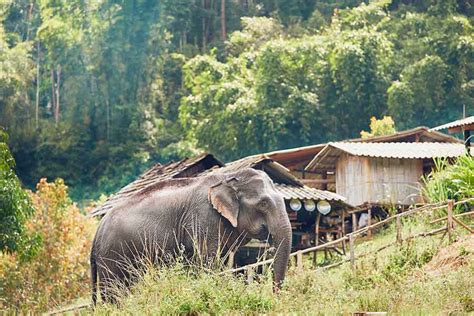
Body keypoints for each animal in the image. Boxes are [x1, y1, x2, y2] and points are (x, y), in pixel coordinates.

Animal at [90, 168, 292, 304]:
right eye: (264, 203)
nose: (275, 298)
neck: (229, 177)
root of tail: (97, 231)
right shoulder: (202, 220)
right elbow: (208, 263)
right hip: (111, 256)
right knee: (114, 291)